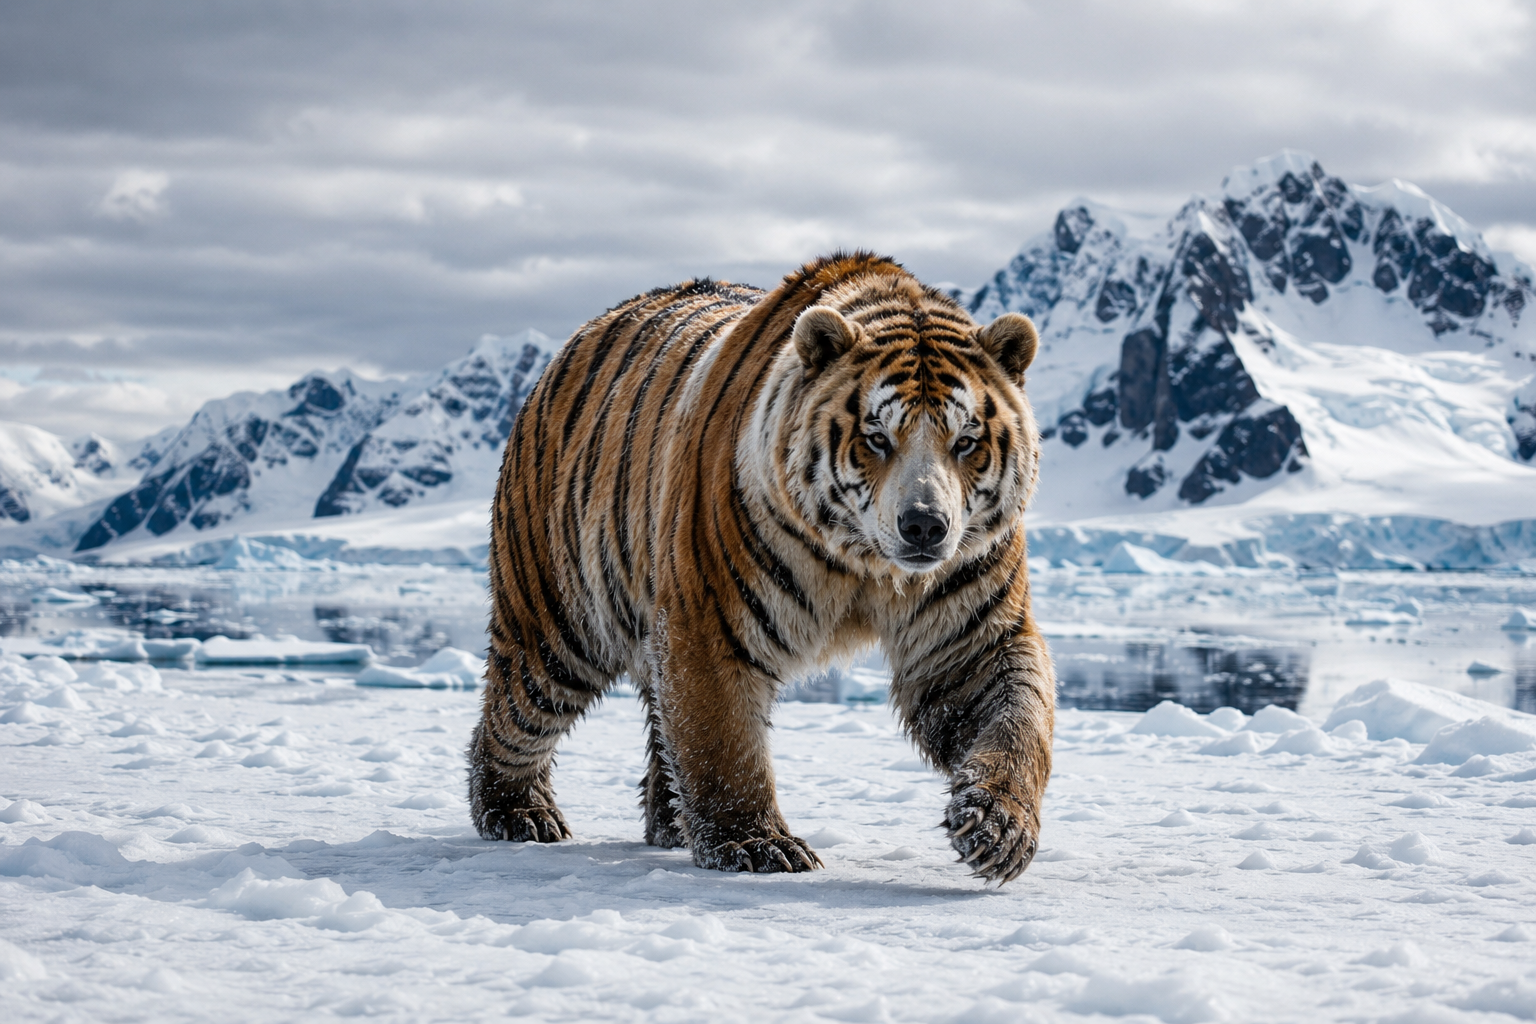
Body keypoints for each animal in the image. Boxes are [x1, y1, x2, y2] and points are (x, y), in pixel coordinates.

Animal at [469, 251, 1055, 885]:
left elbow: (1015, 716)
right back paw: (518, 811)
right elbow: (722, 738)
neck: (867, 568)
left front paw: (997, 827)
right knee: (515, 711)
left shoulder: (968, 632)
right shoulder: (709, 616)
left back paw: (670, 823)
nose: (924, 525)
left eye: (966, 440)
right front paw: (755, 842)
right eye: (877, 437)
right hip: (561, 620)